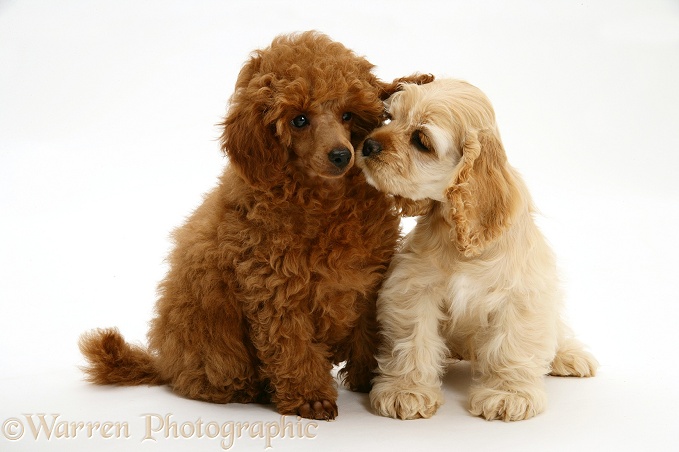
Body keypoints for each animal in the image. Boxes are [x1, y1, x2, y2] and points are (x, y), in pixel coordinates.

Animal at [77, 30, 432, 420]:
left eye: (348, 114)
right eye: (299, 120)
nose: (341, 155)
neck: (324, 201)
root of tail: (165, 362)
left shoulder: (367, 280)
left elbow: (369, 331)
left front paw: (369, 380)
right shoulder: (276, 288)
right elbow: (291, 344)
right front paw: (311, 397)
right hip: (215, 348)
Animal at [358, 79, 596, 422]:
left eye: (421, 141)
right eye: (392, 118)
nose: (367, 145)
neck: (460, 238)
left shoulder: (520, 294)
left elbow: (512, 345)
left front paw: (508, 394)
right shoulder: (414, 287)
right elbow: (413, 340)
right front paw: (406, 390)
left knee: (556, 330)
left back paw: (569, 356)